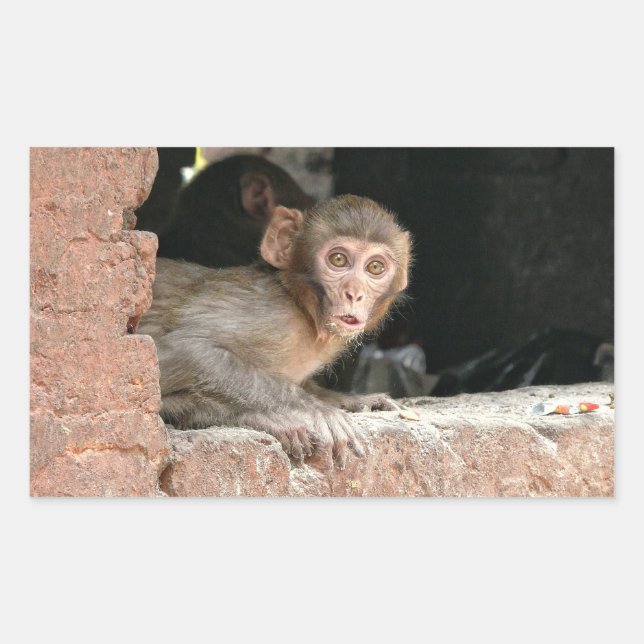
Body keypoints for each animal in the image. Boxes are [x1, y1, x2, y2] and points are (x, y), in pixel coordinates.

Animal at [139, 195, 412, 468]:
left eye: (375, 267)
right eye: (338, 260)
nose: (354, 294)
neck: (303, 309)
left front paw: (353, 400)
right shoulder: (272, 315)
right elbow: (178, 348)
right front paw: (313, 409)